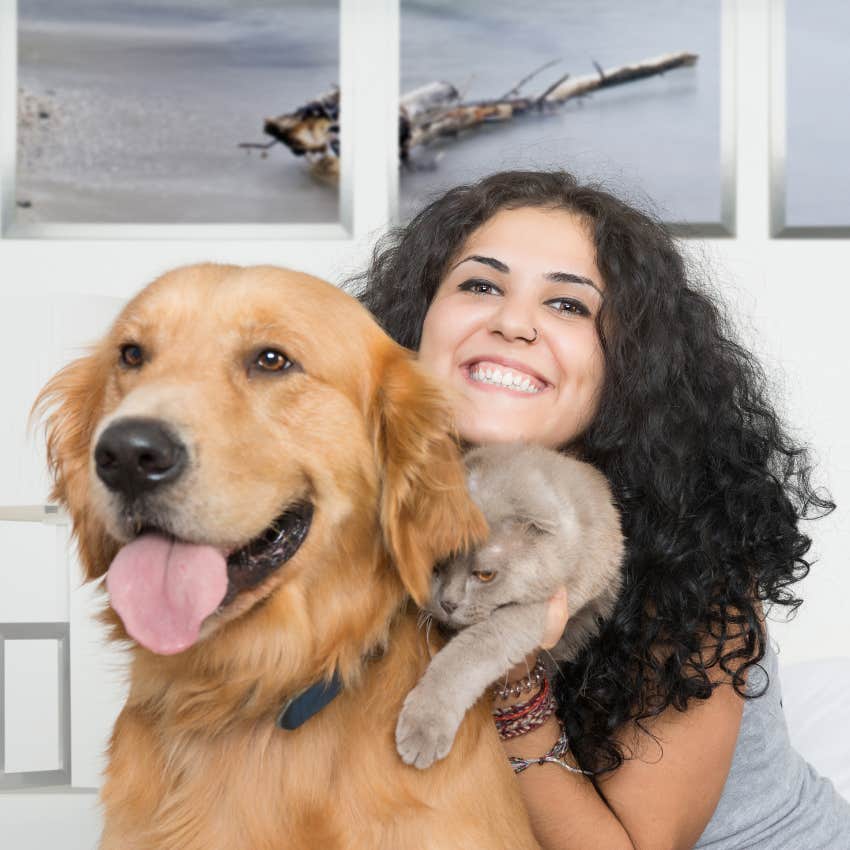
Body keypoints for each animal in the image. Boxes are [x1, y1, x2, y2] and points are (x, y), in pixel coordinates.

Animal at [396, 444, 624, 768]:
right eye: (437, 565)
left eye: (485, 574)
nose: (448, 603)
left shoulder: (537, 608)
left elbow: (466, 655)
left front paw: (422, 730)